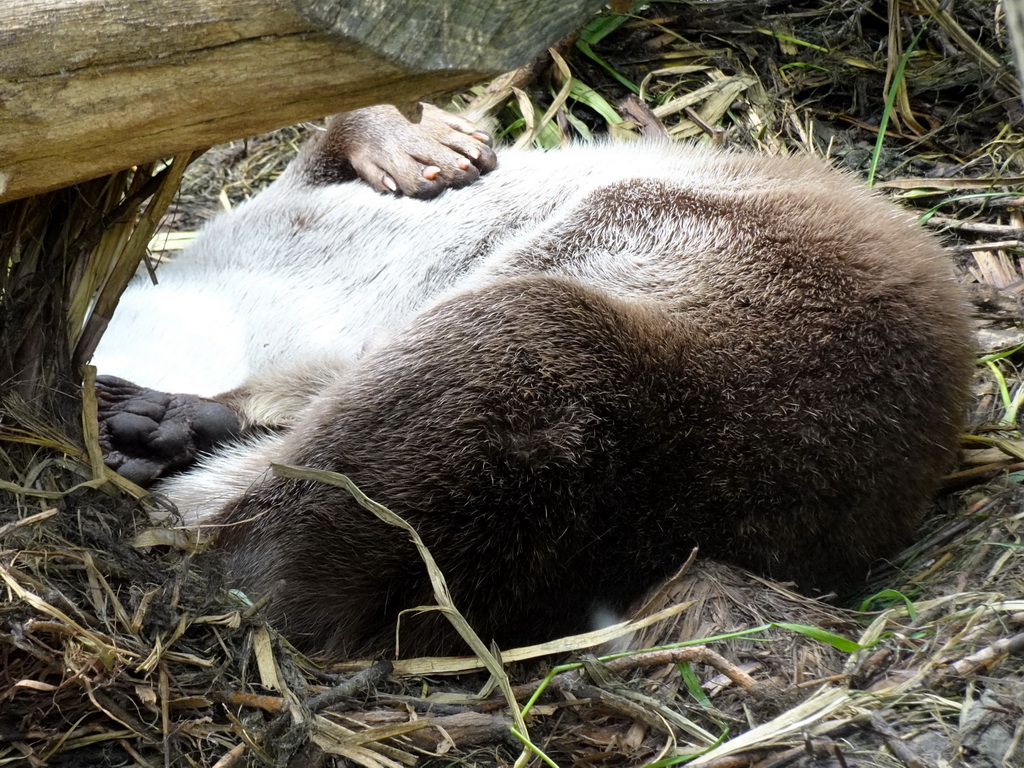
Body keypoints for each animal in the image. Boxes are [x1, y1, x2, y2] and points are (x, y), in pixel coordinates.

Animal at [92, 103, 970, 663]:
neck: (243, 316)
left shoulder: (277, 213)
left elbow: (326, 132)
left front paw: (417, 141)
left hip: (599, 285)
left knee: (248, 499)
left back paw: (166, 427)